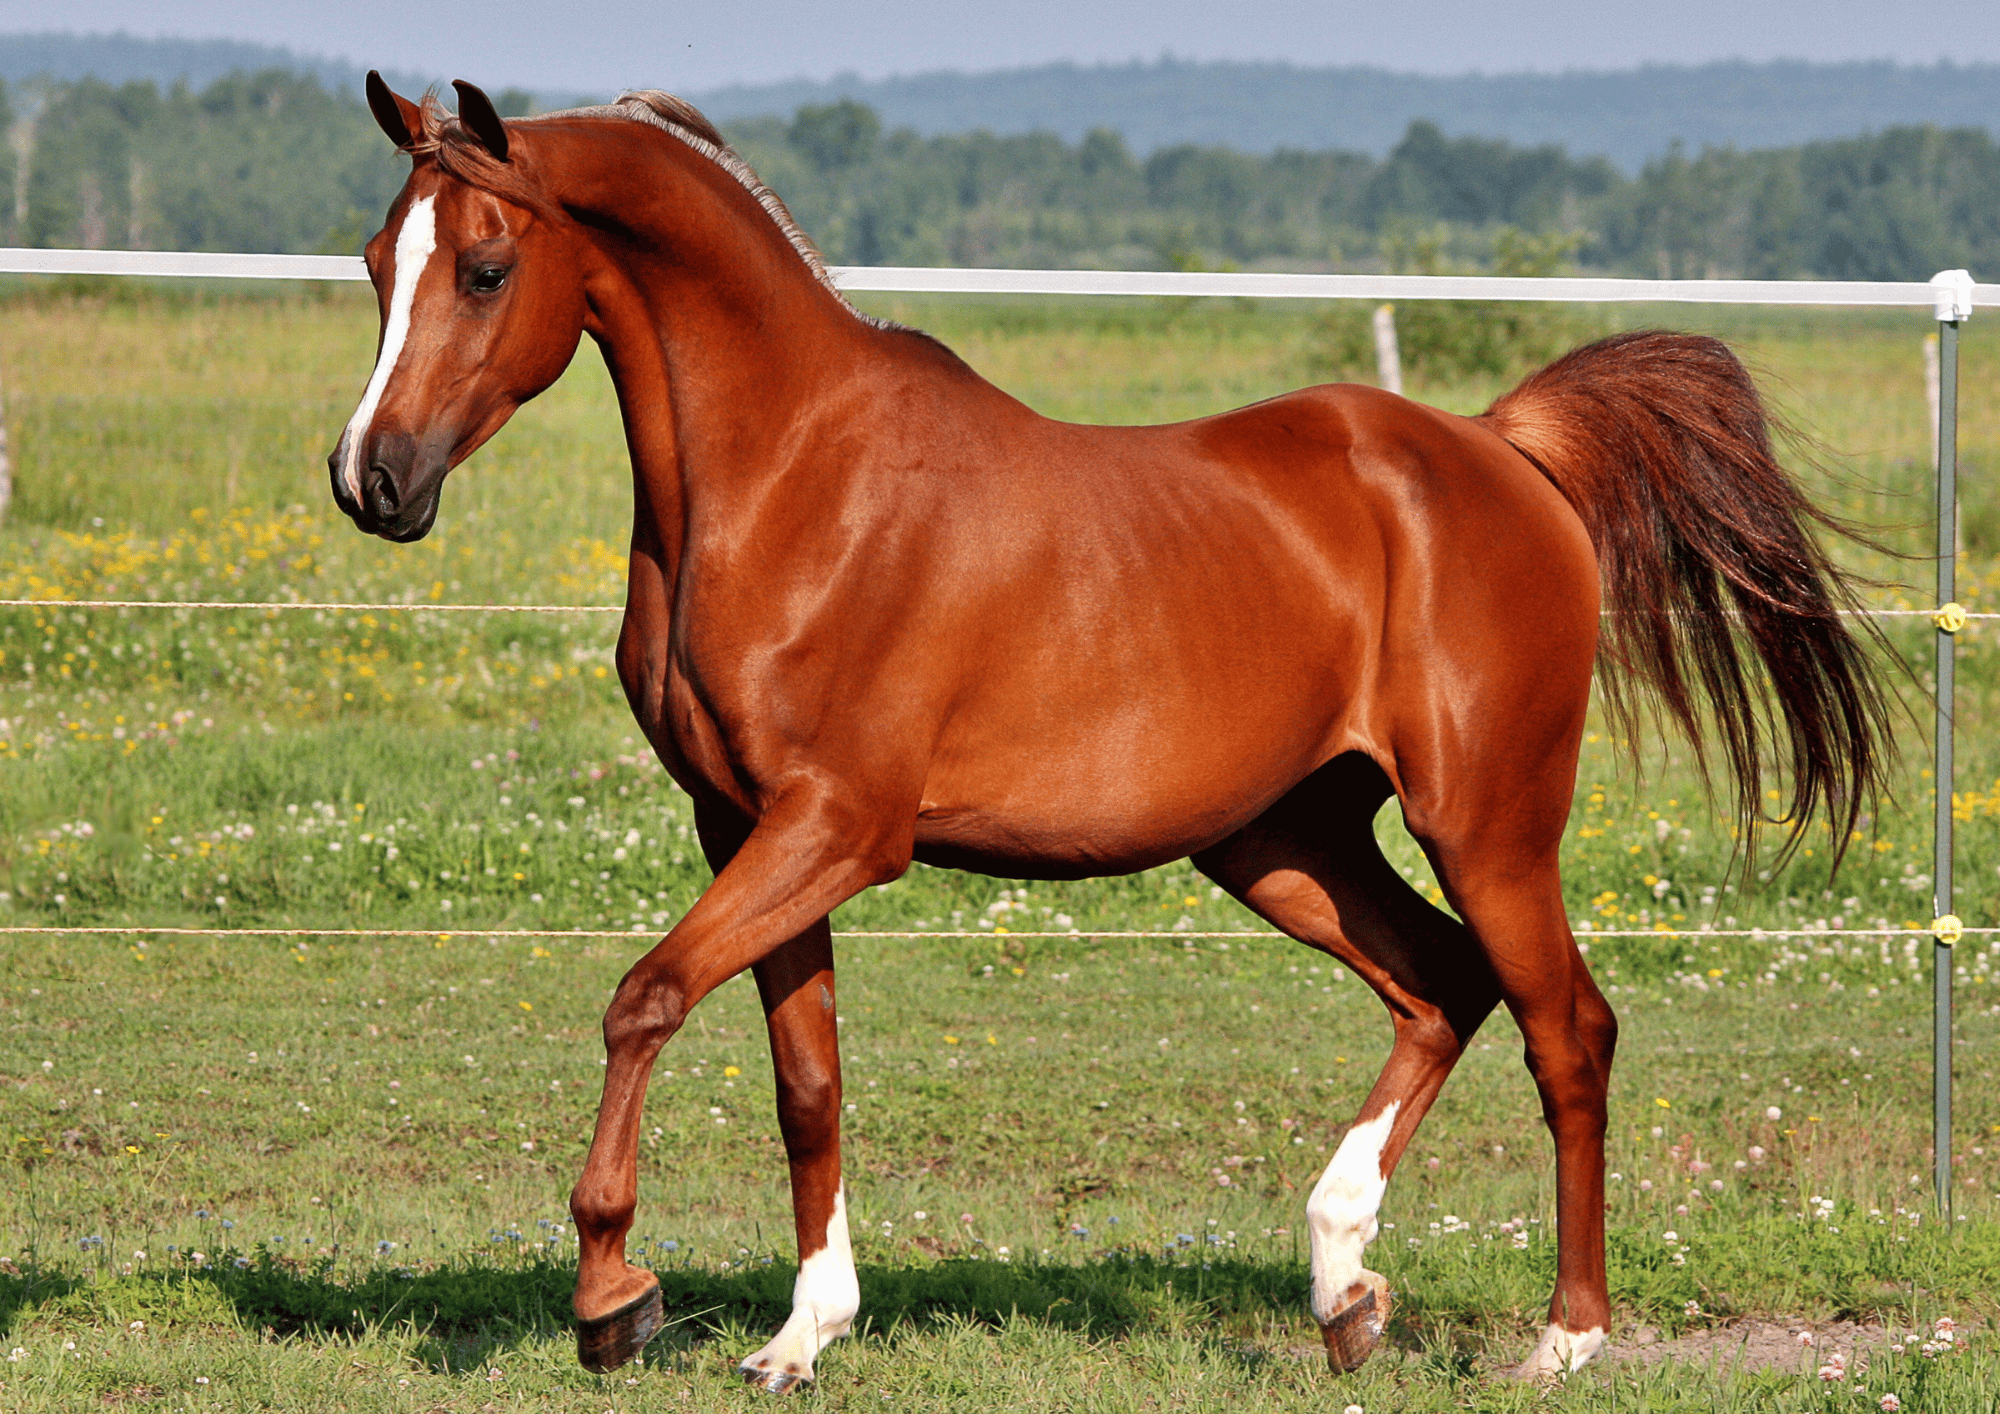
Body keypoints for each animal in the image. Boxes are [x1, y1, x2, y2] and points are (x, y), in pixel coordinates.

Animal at [329, 74, 1885, 1389]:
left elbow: (642, 998)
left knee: (1567, 1028)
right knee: (1441, 984)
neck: (792, 479)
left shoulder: (839, 827)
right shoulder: (749, 828)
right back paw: (1343, 1287)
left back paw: (1566, 1339)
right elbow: (806, 1082)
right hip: (1283, 841)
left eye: (485, 267)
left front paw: (612, 1297)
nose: (371, 481)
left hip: (1488, 824)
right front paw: (800, 1336)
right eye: (374, 261)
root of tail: (1501, 450)